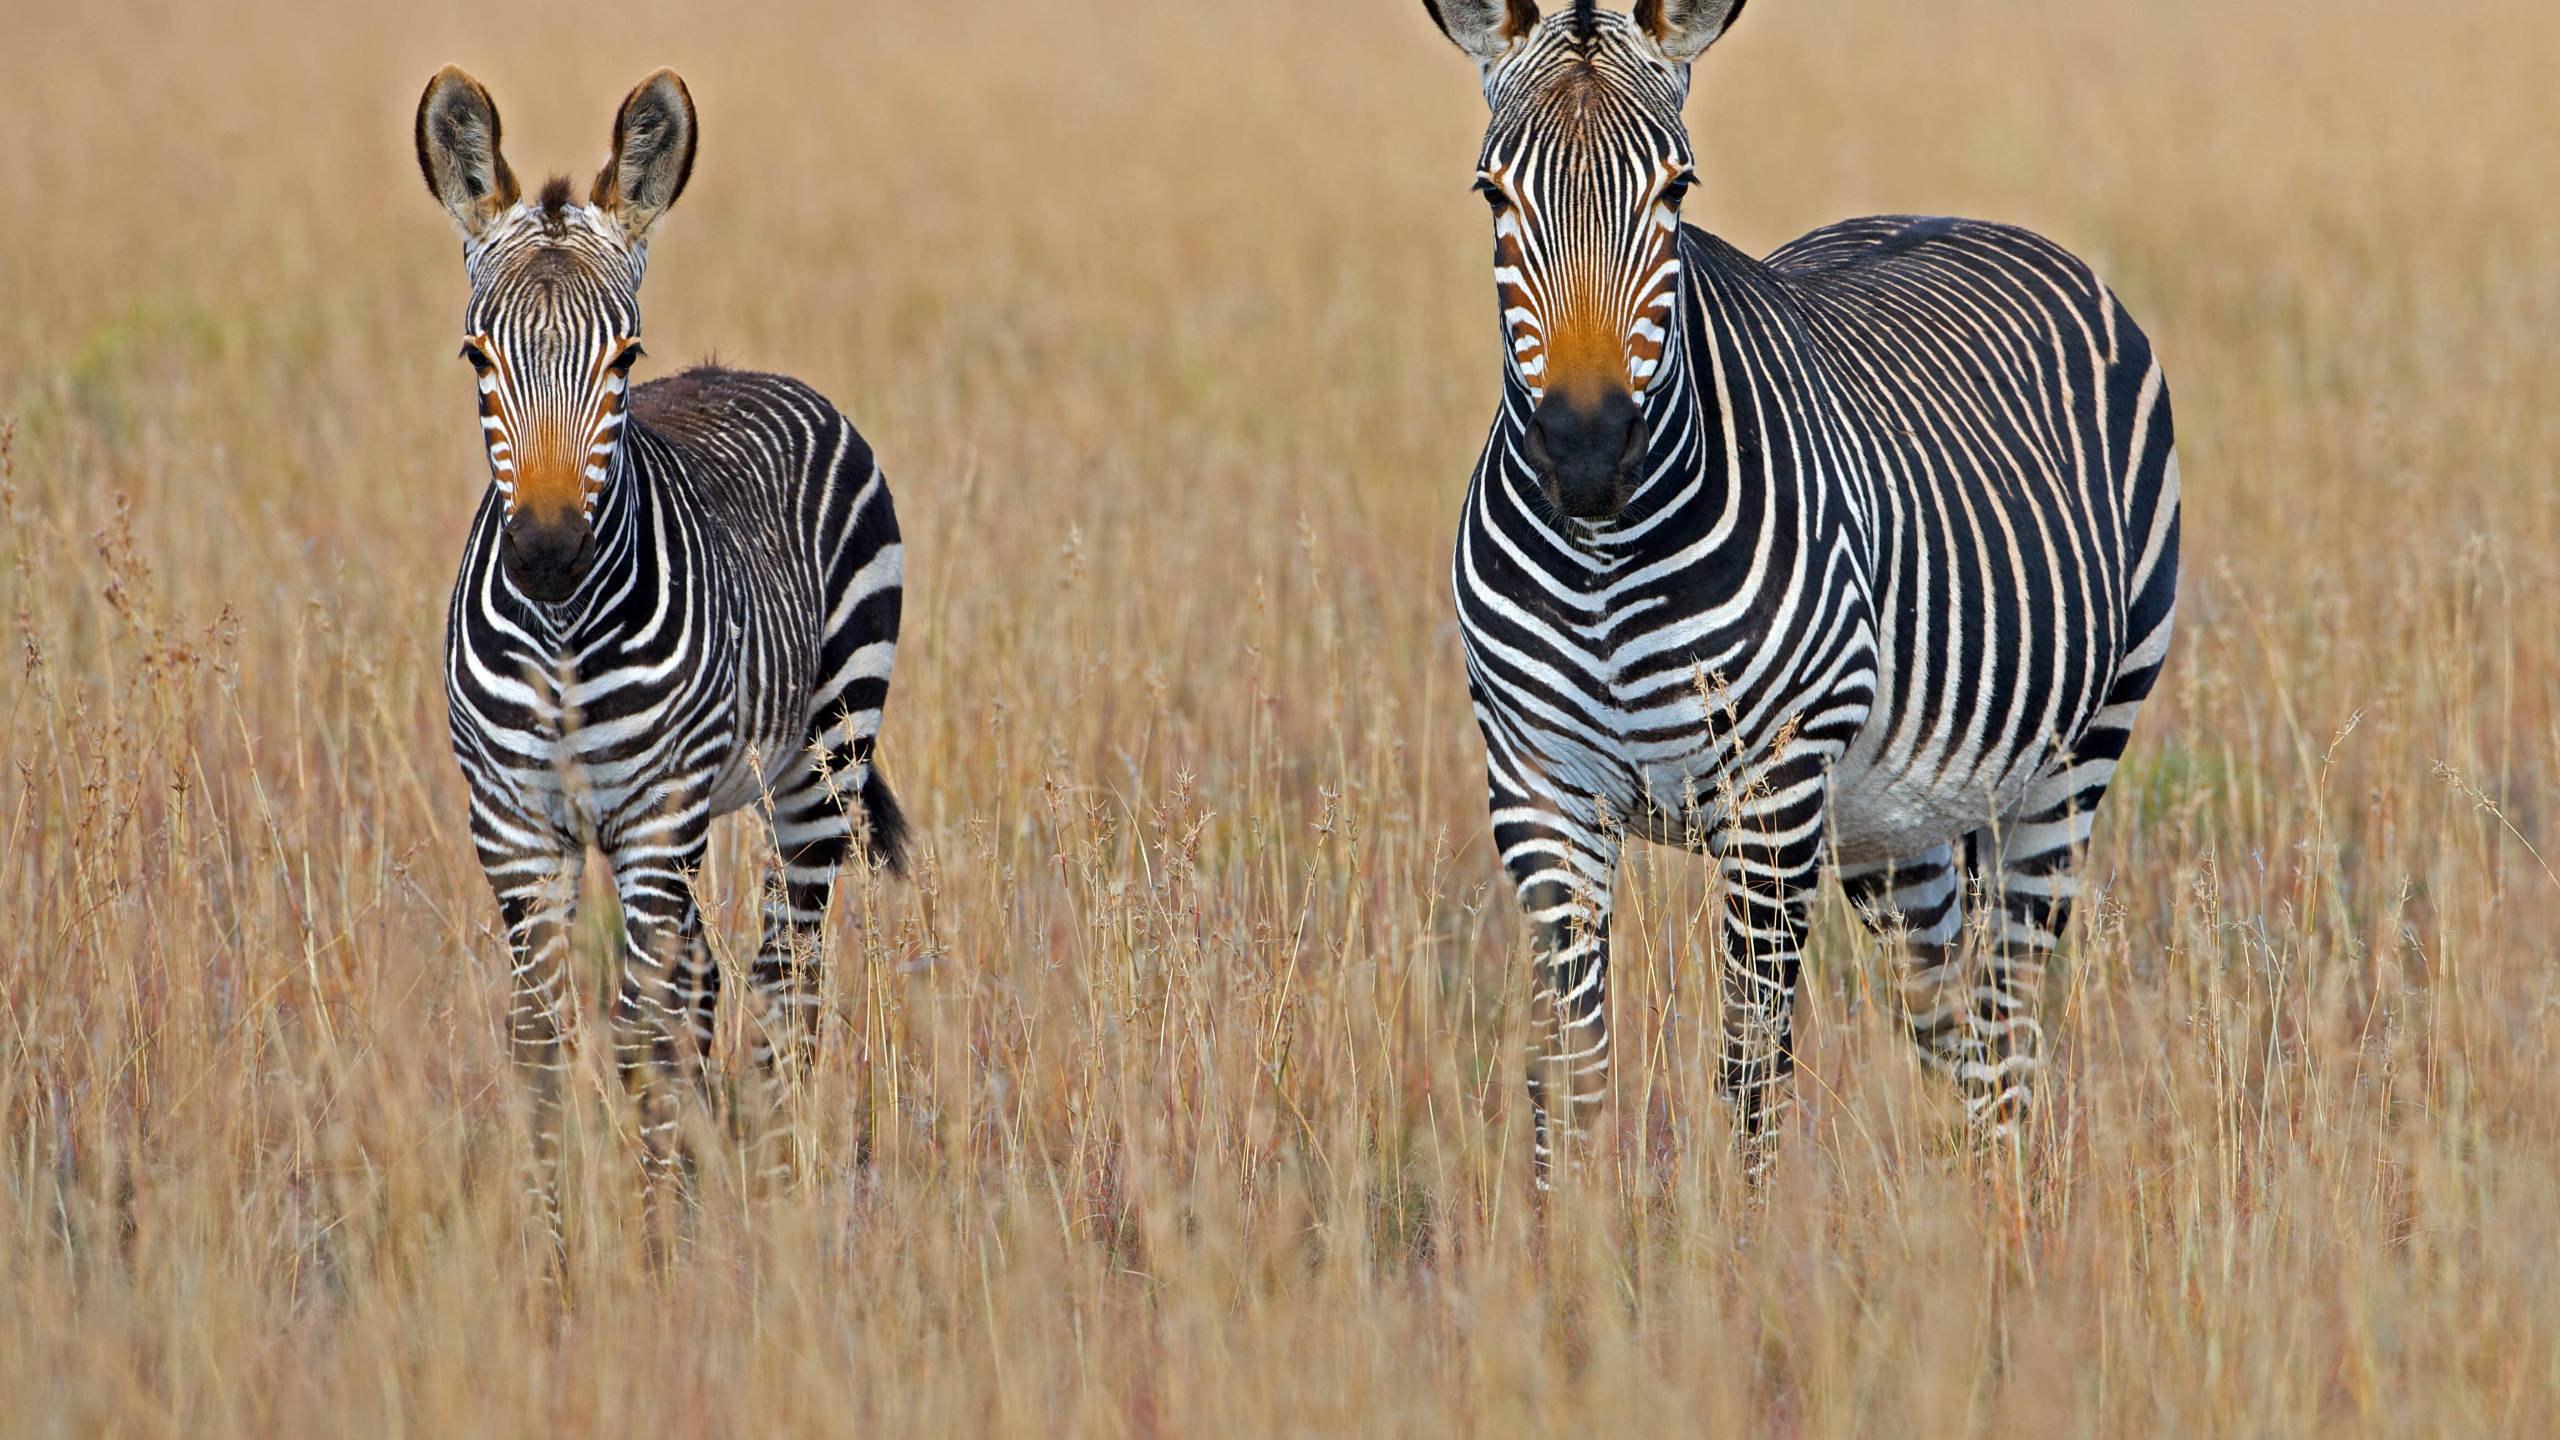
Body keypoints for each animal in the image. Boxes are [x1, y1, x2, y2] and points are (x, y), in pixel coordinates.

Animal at [414, 66, 908, 1256]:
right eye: (477, 357)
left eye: (624, 358)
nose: (548, 554)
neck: (560, 636)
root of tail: (752, 373)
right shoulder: (515, 825)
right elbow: (544, 1049)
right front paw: (555, 1270)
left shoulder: (653, 820)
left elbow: (639, 1041)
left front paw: (647, 1266)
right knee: (712, 980)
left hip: (820, 767)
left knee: (784, 987)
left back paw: (777, 1212)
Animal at [1418, 0, 2181, 1186]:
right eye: (1493, 194)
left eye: (1676, 189)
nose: (1585, 454)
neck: (1604, 559)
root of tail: (1960, 213)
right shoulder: (1537, 789)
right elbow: (1570, 1083)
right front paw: (1562, 1238)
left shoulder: (1772, 795)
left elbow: (1748, 1072)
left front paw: (1743, 1240)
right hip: (1892, 822)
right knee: (1950, 1029)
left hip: (2071, 761)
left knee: (2007, 1030)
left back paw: (2009, 1223)